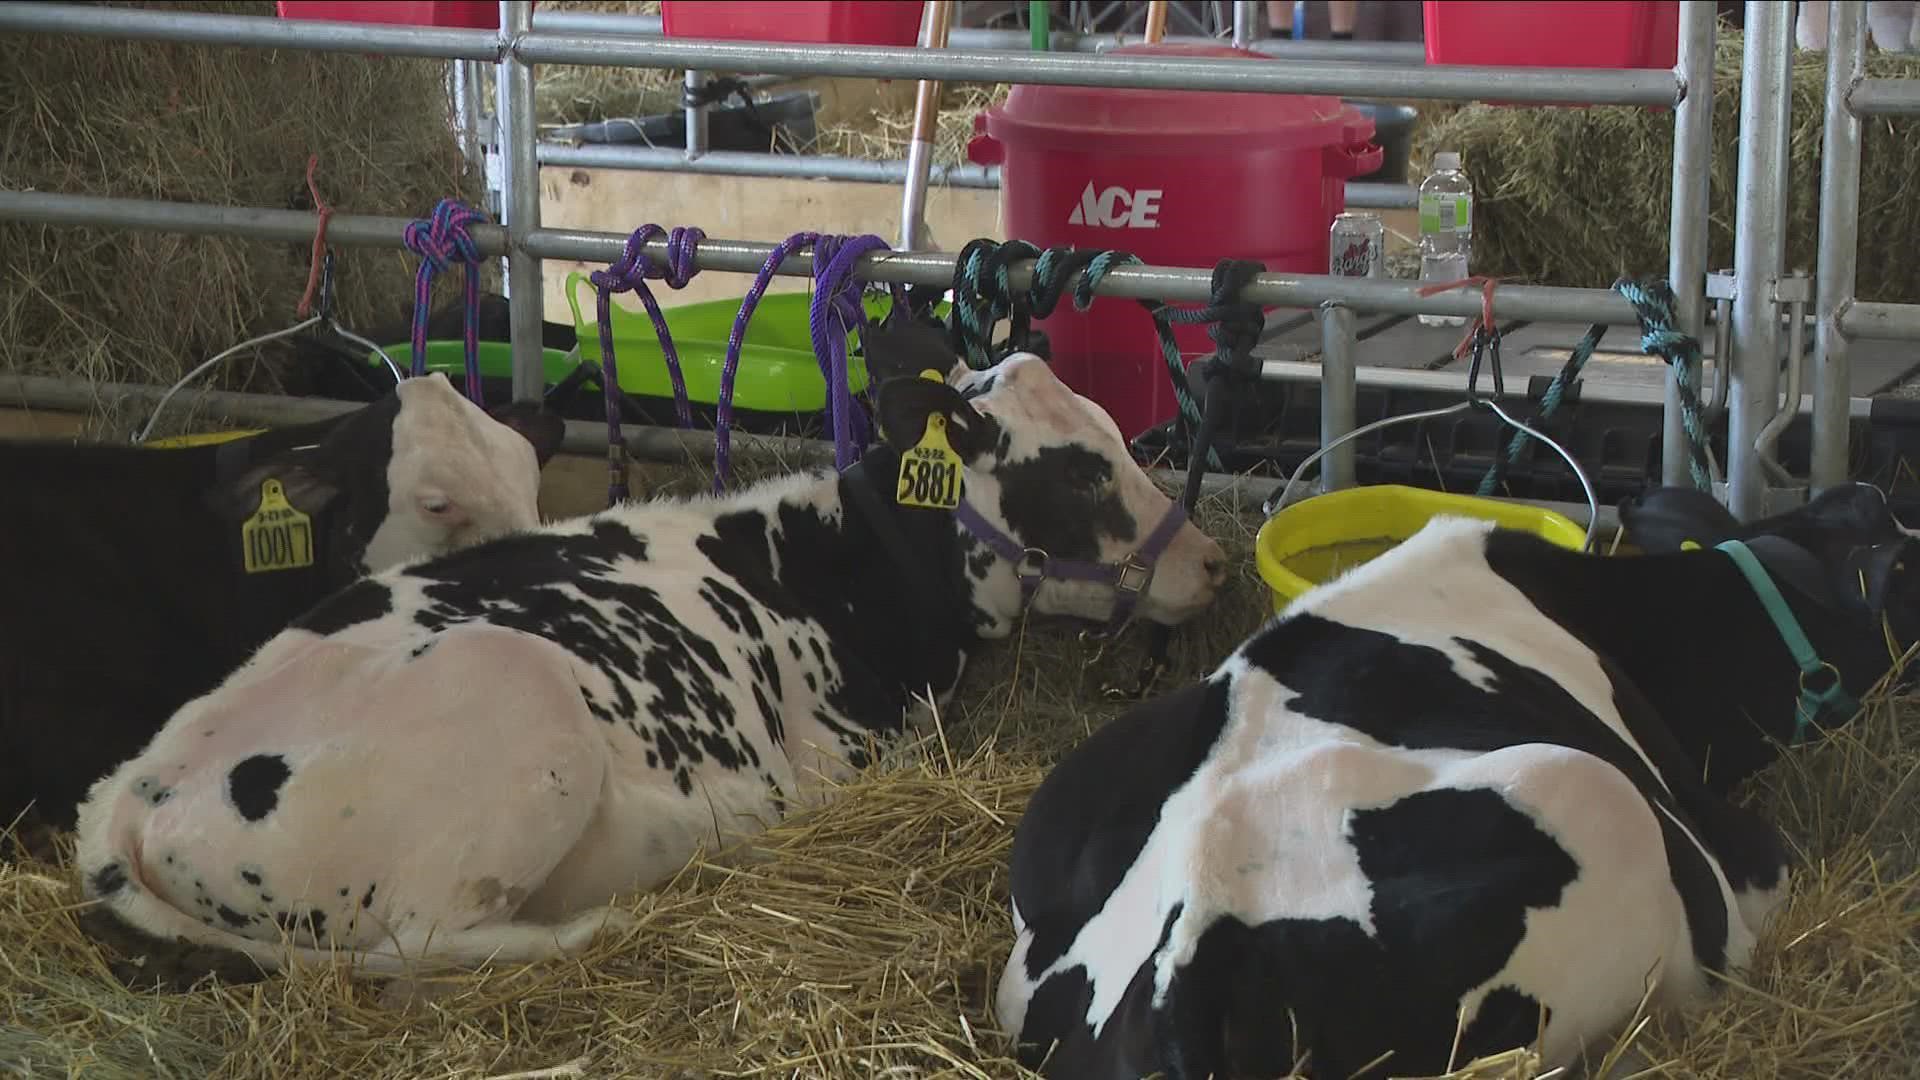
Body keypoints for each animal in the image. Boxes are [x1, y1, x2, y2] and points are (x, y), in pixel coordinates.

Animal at [74, 317, 1228, 976]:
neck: (844, 566)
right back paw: (614, 920)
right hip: (524, 720)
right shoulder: (836, 761)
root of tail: (133, 794)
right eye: (1079, 470)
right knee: (427, 938)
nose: (1214, 560)